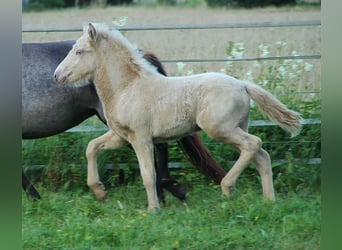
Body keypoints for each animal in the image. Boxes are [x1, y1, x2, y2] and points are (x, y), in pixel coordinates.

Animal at [54, 23, 302, 211]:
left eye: (79, 51)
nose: (57, 75)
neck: (127, 88)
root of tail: (242, 84)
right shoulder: (121, 136)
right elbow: (92, 147)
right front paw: (99, 192)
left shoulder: (141, 138)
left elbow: (148, 174)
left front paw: (153, 209)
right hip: (237, 127)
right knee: (262, 156)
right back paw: (269, 201)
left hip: (220, 128)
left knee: (254, 144)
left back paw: (227, 187)